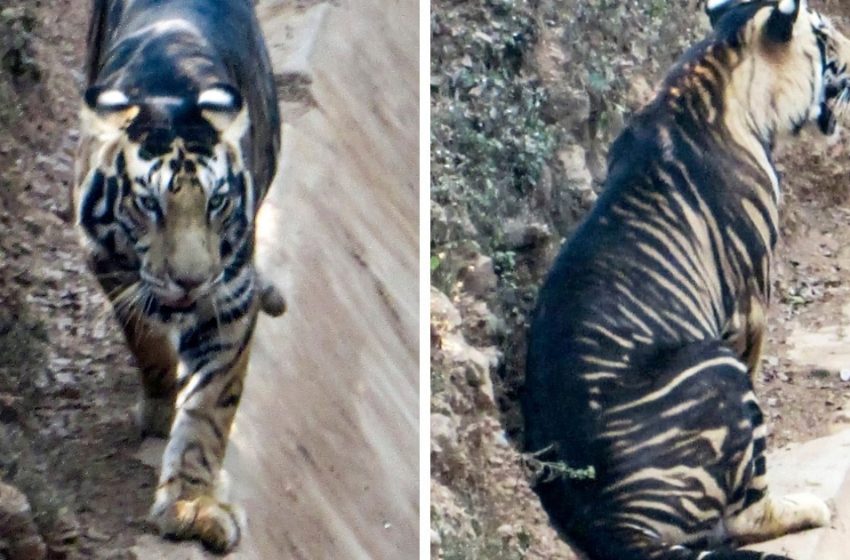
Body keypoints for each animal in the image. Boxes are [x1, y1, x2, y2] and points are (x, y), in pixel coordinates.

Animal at [73, 0, 282, 552]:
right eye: (149, 204)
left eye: (217, 202)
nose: (191, 280)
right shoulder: (108, 265)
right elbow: (145, 340)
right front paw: (160, 406)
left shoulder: (229, 297)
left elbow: (209, 408)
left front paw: (192, 505)